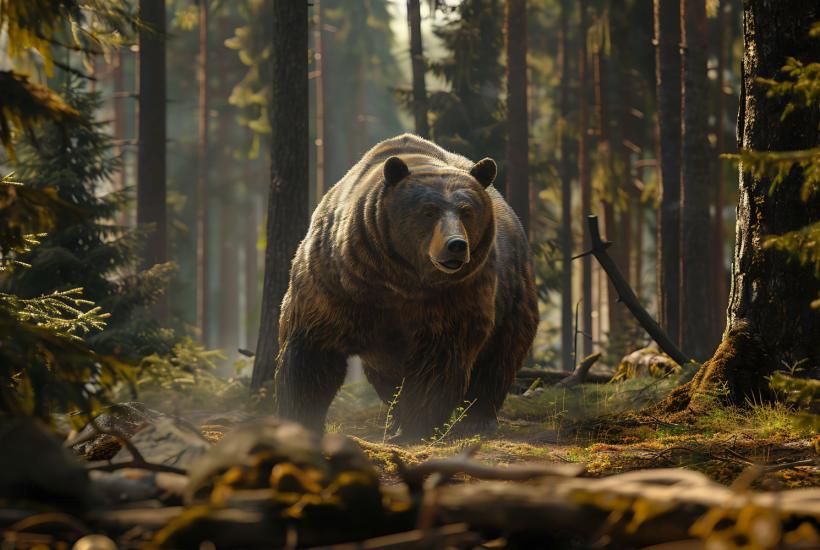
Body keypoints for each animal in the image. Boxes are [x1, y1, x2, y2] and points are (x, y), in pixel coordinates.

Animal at [273, 134, 538, 439]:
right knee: (385, 374)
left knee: (499, 356)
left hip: (513, 291)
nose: (456, 246)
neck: (397, 279)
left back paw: (477, 419)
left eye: (466, 211)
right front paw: (300, 416)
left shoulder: (455, 294)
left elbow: (440, 355)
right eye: (428, 211)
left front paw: (417, 424)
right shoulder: (336, 284)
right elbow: (313, 348)